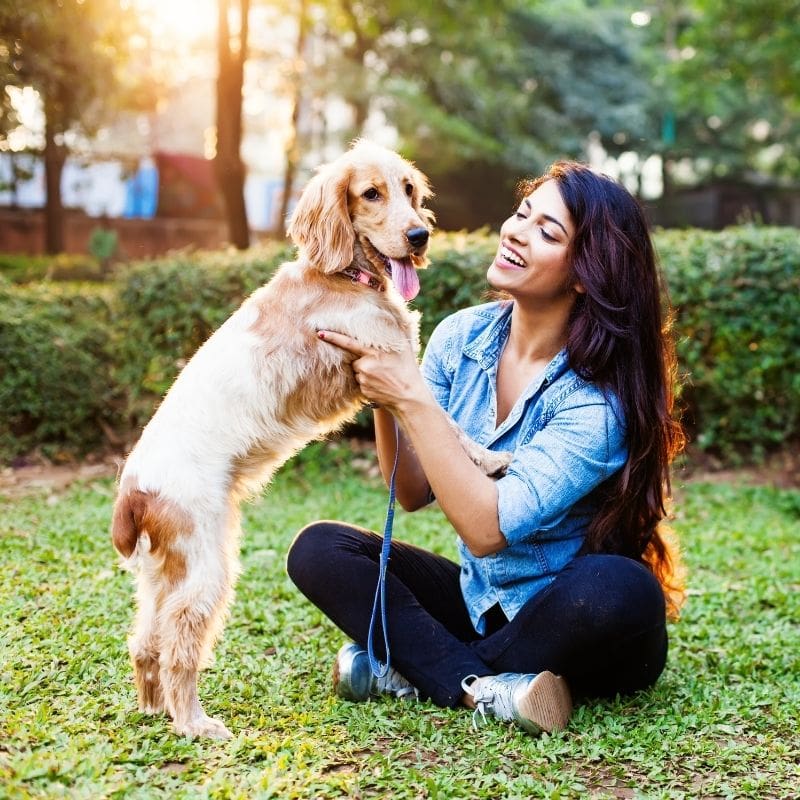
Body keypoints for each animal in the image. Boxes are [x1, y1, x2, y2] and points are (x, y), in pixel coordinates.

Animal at [109, 141, 510, 740]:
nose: (420, 236)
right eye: (371, 194)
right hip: (206, 568)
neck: (344, 276)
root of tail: (133, 488)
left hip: (167, 573)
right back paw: (195, 724)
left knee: (145, 640)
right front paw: (488, 458)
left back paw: (156, 709)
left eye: (409, 190)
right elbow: (452, 426)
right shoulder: (388, 365)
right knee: (179, 644)